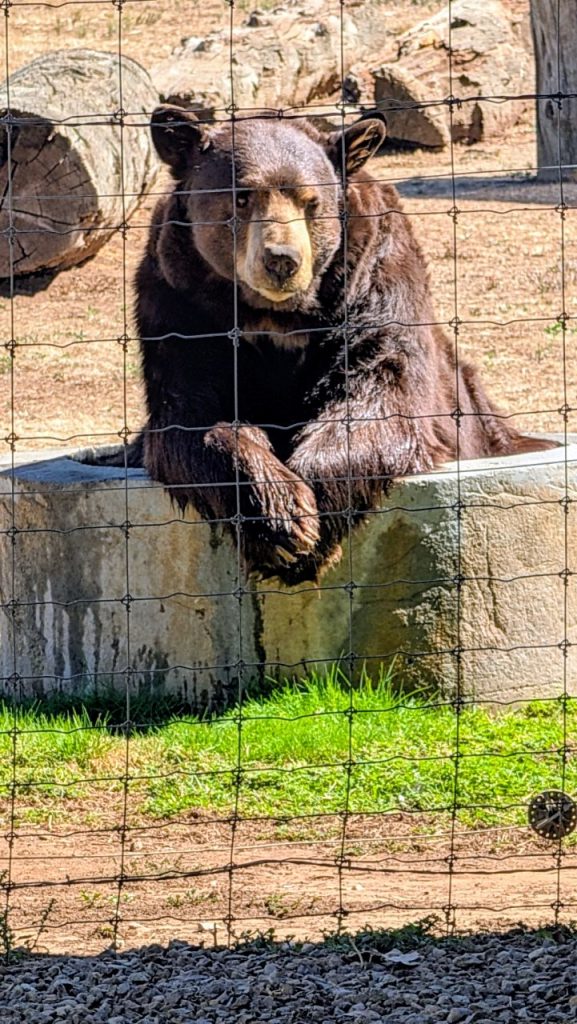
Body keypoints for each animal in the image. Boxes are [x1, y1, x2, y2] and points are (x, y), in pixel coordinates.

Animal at [132, 104, 552, 584]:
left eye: (310, 203)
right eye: (242, 197)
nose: (282, 260)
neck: (275, 317)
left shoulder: (374, 282)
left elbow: (378, 392)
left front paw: (305, 526)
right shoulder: (182, 308)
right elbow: (193, 415)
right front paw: (280, 520)